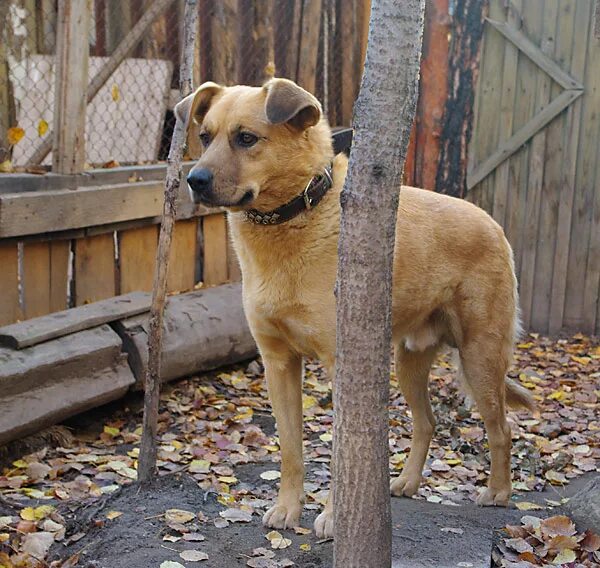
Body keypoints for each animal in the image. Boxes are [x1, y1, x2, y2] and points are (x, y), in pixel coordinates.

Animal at [175, 79, 536, 536]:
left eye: (246, 138)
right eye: (205, 137)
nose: (194, 179)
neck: (297, 214)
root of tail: (493, 224)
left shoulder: (339, 365)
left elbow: (340, 455)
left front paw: (334, 518)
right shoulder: (279, 363)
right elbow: (291, 449)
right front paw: (287, 509)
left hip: (480, 358)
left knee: (502, 428)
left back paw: (498, 492)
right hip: (408, 362)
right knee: (427, 422)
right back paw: (407, 482)